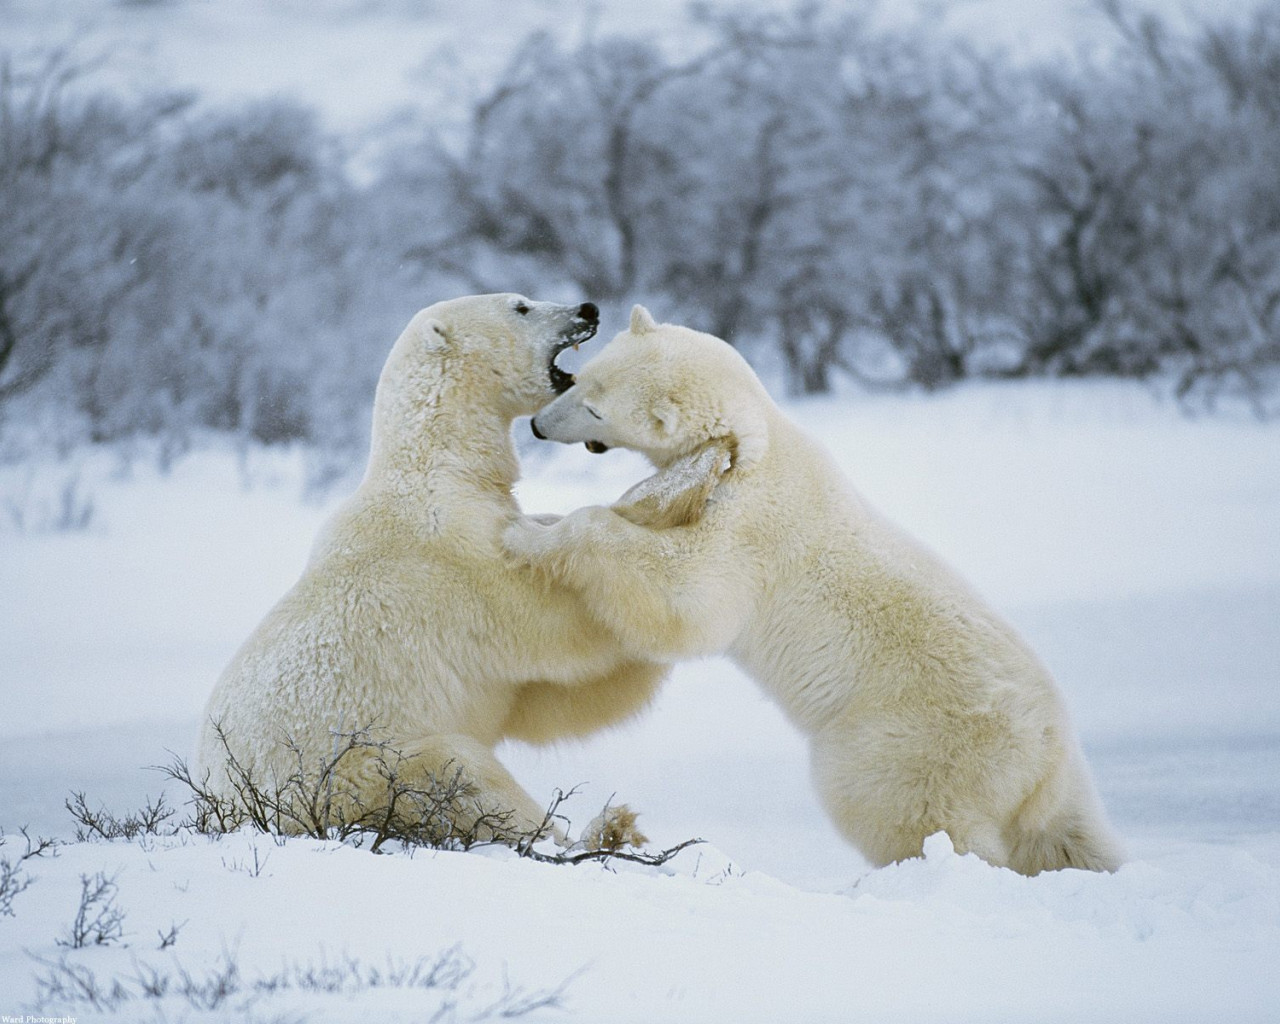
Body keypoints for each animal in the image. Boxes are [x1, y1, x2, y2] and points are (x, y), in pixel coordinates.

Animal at [194, 294, 670, 839]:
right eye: (521, 306)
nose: (588, 309)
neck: (439, 468)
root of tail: (222, 810)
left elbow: (544, 702)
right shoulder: (455, 559)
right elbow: (557, 626)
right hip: (352, 776)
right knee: (457, 771)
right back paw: (594, 828)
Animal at [504, 304, 1126, 870]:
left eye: (594, 407)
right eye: (581, 377)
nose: (538, 426)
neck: (756, 443)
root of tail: (1048, 754)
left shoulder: (749, 531)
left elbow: (687, 597)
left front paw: (529, 536)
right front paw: (538, 518)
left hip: (911, 740)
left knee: (902, 809)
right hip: (1042, 784)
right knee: (1067, 835)